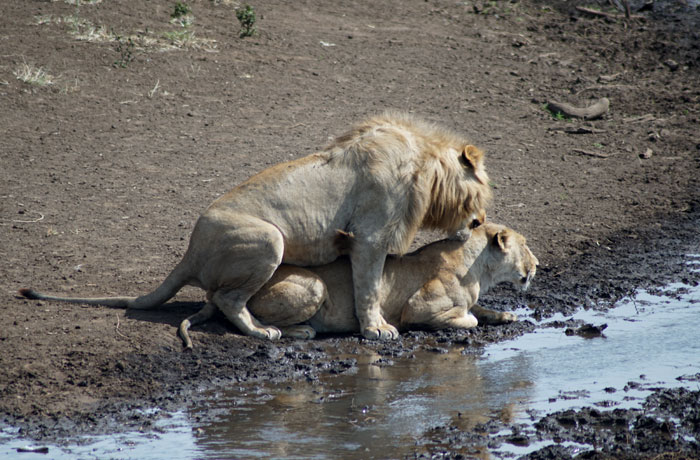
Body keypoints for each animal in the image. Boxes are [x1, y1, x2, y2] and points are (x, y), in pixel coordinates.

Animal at [21, 112, 492, 342]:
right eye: (482, 197)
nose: (480, 222)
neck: (425, 166)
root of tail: (189, 252)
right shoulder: (370, 238)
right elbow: (370, 289)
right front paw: (376, 329)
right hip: (268, 239)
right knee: (228, 300)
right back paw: (265, 332)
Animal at [179, 223, 536, 348]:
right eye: (525, 244)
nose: (536, 265)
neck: (479, 268)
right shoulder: (418, 308)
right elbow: (468, 317)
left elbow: (482, 308)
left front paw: (505, 315)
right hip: (314, 286)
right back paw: (298, 330)